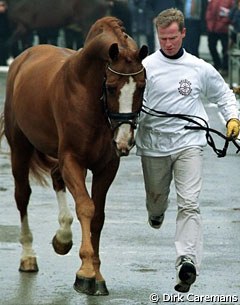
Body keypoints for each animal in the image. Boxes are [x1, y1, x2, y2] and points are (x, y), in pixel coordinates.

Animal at [0, 16, 148, 294]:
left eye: (142, 87)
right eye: (111, 88)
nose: (124, 140)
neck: (88, 94)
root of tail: (23, 57)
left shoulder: (106, 166)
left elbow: (98, 216)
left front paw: (97, 275)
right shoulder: (72, 160)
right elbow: (86, 207)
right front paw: (86, 272)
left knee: (56, 177)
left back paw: (63, 237)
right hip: (20, 147)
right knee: (22, 196)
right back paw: (28, 256)